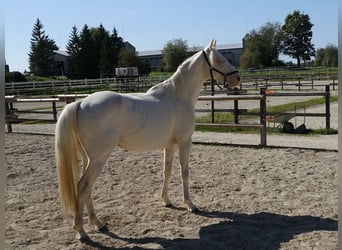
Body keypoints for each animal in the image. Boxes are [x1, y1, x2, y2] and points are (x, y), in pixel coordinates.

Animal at [54, 39, 239, 240]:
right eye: (219, 59)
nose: (237, 79)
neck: (178, 96)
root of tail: (80, 103)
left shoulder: (169, 146)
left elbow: (167, 172)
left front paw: (167, 201)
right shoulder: (184, 142)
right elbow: (184, 173)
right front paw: (190, 204)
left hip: (89, 158)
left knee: (86, 188)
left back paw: (98, 224)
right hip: (98, 159)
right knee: (83, 186)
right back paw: (81, 231)